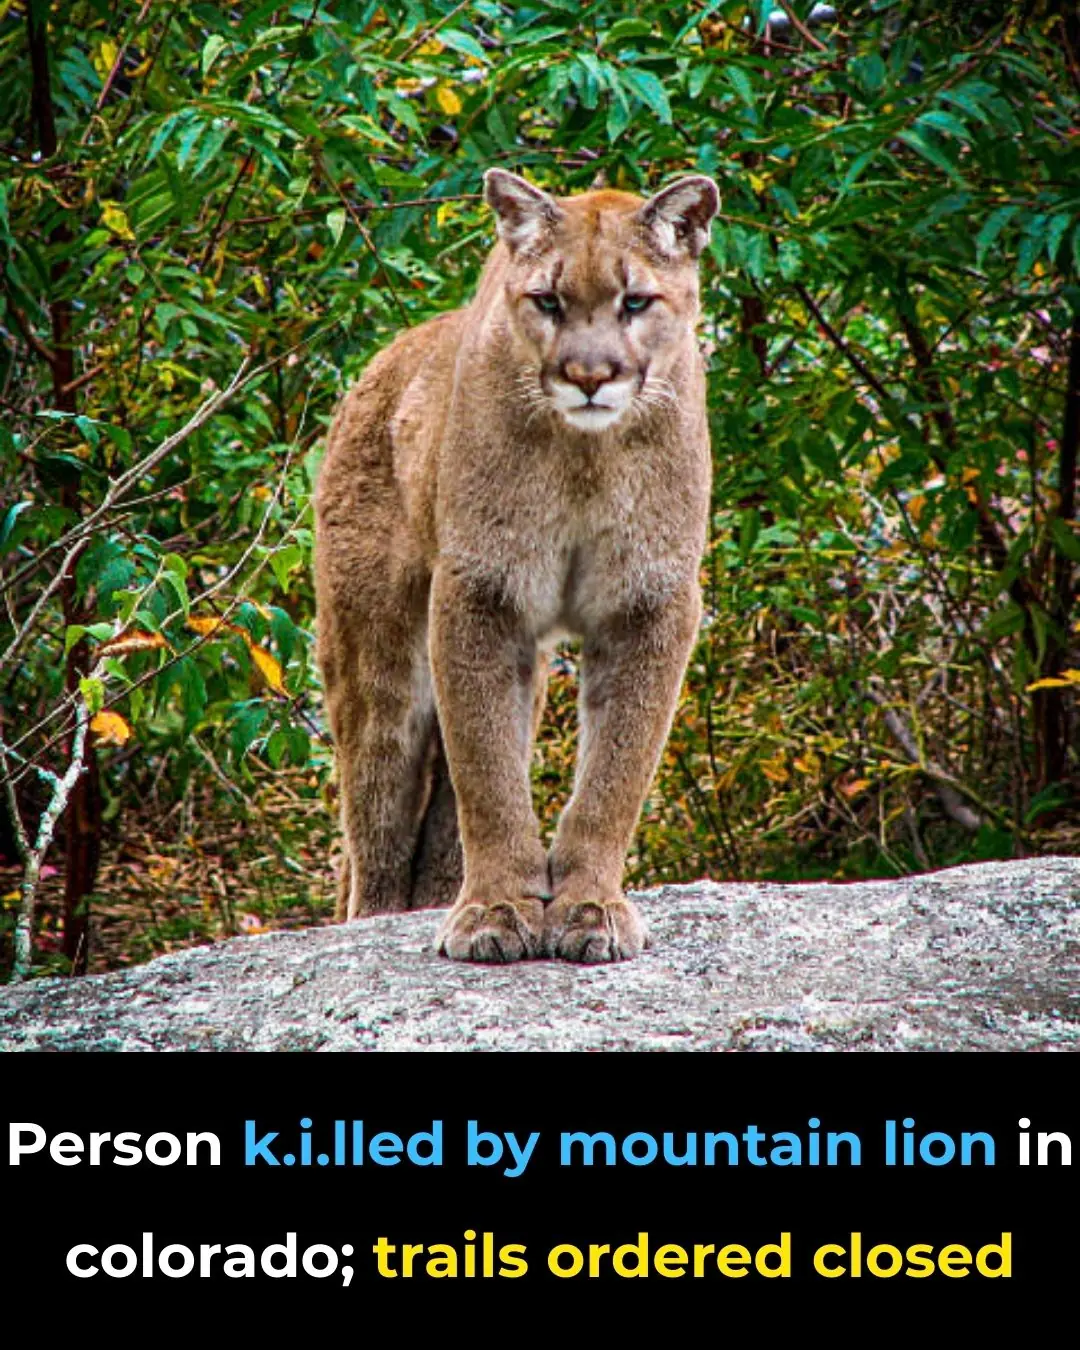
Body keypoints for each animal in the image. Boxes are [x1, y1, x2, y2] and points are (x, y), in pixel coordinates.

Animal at [314, 168, 718, 963]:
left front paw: (589, 908)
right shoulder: (482, 591)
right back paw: (381, 916)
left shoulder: (648, 601)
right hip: (374, 657)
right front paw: (495, 912)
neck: (587, 458)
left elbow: (614, 773)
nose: (589, 375)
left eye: (635, 301)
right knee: (376, 818)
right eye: (548, 301)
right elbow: (488, 774)